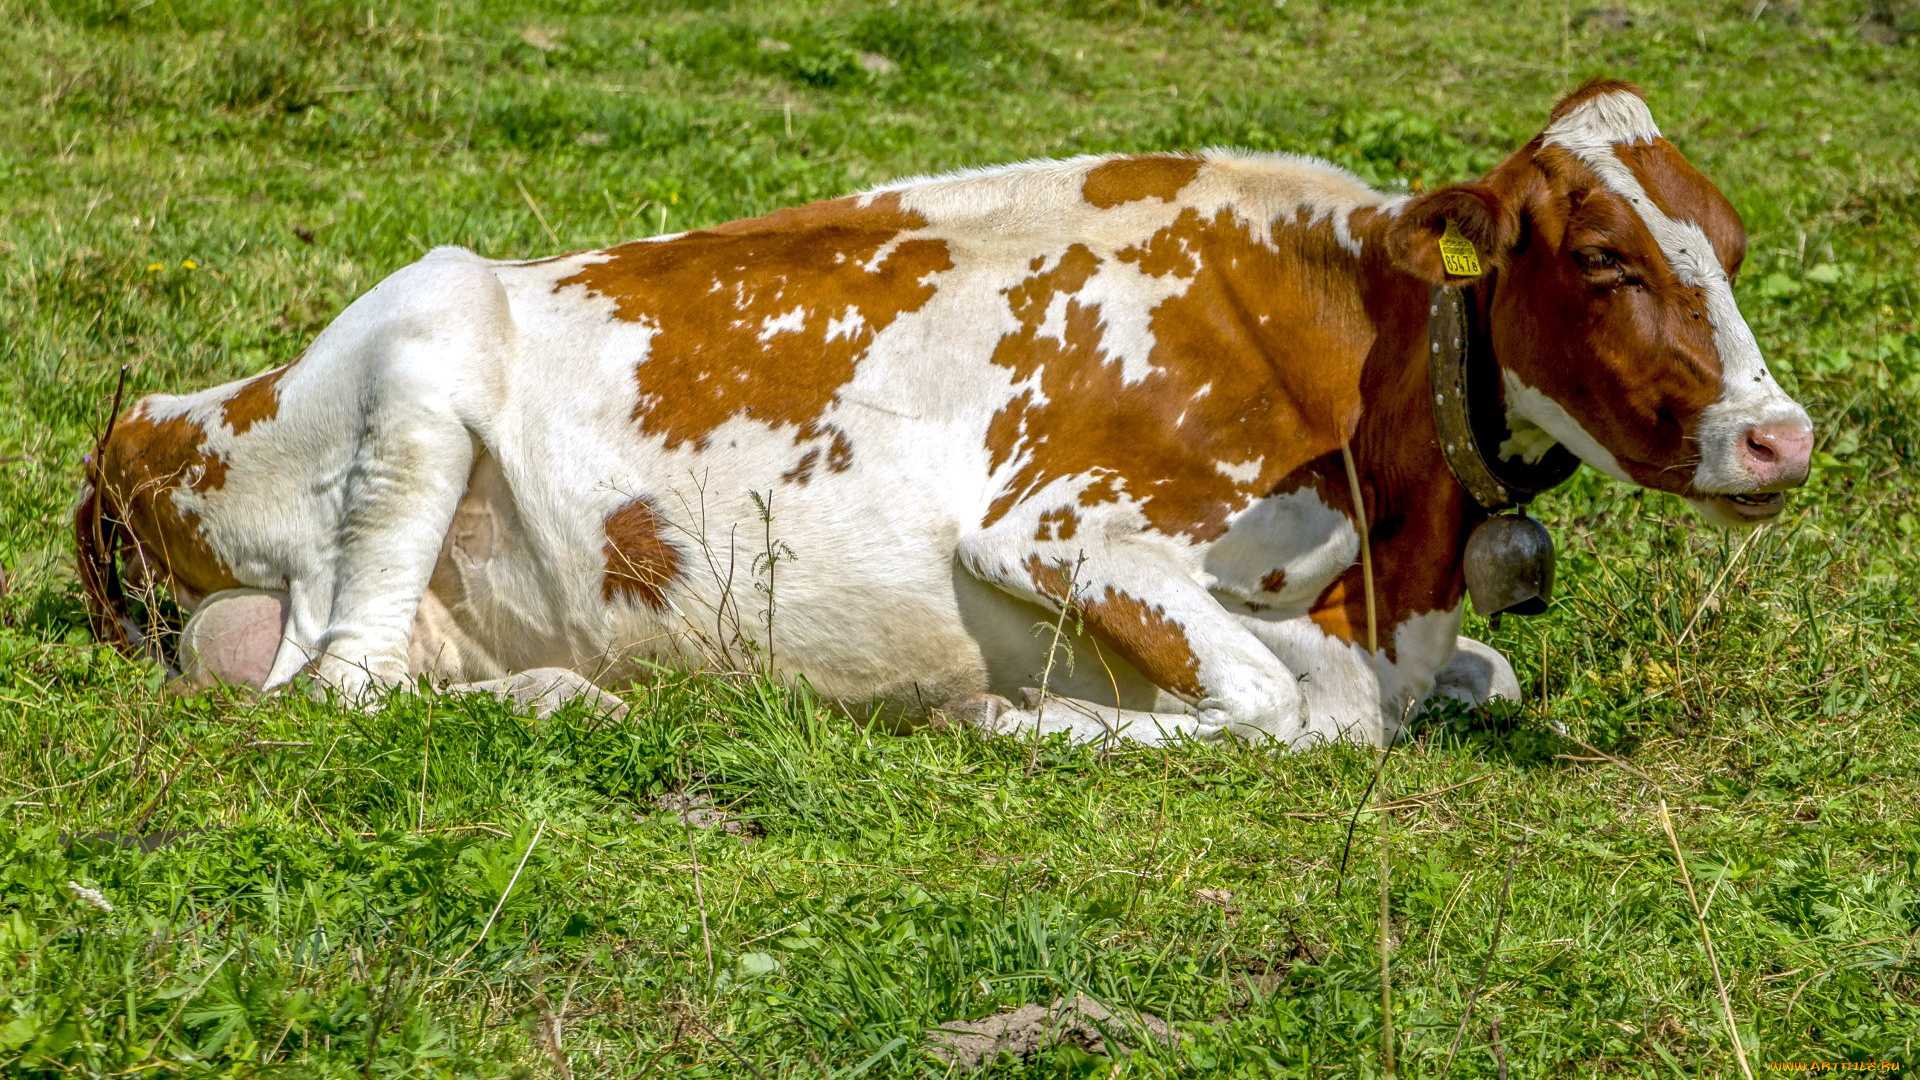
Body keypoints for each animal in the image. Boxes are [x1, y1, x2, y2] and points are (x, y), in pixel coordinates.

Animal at [77, 80, 1812, 748]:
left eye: (1729, 246)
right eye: (1603, 256)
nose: (1780, 437)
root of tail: (139, 414)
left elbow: (1474, 678)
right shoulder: (1046, 534)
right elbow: (1277, 708)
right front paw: (1021, 721)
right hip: (423, 358)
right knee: (340, 683)